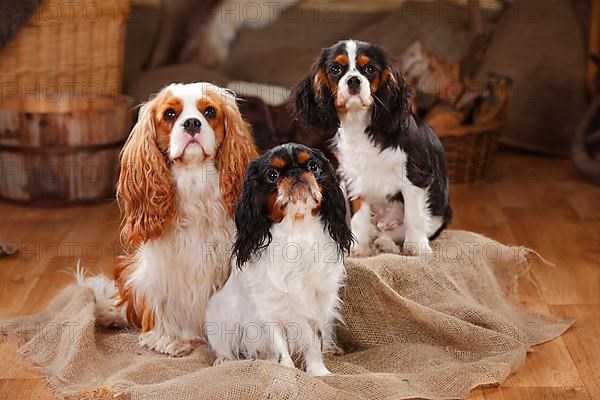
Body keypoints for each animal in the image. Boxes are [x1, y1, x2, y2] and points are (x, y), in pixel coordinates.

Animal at [79, 82, 258, 356]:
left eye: (210, 112)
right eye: (170, 115)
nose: (192, 123)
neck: (194, 180)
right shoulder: (166, 268)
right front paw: (174, 339)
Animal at [206, 143, 352, 376]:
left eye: (313, 166)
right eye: (272, 175)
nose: (295, 172)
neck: (297, 230)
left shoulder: (316, 304)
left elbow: (315, 341)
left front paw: (318, 371)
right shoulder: (268, 310)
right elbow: (280, 346)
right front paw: (287, 371)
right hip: (217, 318)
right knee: (224, 347)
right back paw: (223, 360)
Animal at [292, 40, 452, 256]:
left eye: (369, 69)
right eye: (335, 69)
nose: (353, 80)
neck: (361, 126)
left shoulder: (415, 176)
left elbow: (413, 216)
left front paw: (417, 249)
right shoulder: (354, 178)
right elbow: (358, 217)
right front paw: (359, 248)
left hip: (439, 216)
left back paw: (388, 245)